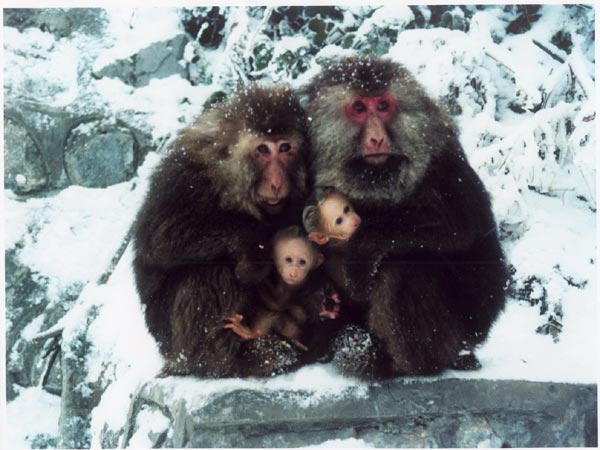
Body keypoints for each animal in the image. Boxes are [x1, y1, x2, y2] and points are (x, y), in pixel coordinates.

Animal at [134, 86, 312, 378]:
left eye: (285, 148)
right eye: (262, 149)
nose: (276, 183)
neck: (228, 176)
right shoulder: (183, 175)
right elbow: (160, 239)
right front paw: (251, 245)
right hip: (175, 344)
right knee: (208, 273)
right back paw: (229, 359)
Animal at [304, 56, 506, 380]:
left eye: (383, 105)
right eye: (359, 108)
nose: (376, 138)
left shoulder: (442, 153)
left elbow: (463, 227)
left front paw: (362, 248)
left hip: (458, 334)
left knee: (403, 266)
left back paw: (409, 364)